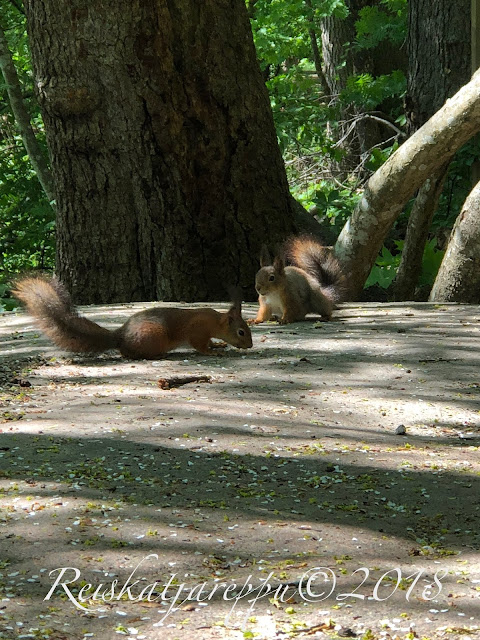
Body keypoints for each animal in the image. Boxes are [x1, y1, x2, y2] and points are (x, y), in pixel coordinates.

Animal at [13, 275, 253, 359]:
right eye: (241, 332)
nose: (250, 346)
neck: (214, 322)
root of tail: (119, 337)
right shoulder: (197, 330)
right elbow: (200, 345)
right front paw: (213, 351)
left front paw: (218, 345)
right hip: (153, 336)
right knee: (129, 353)